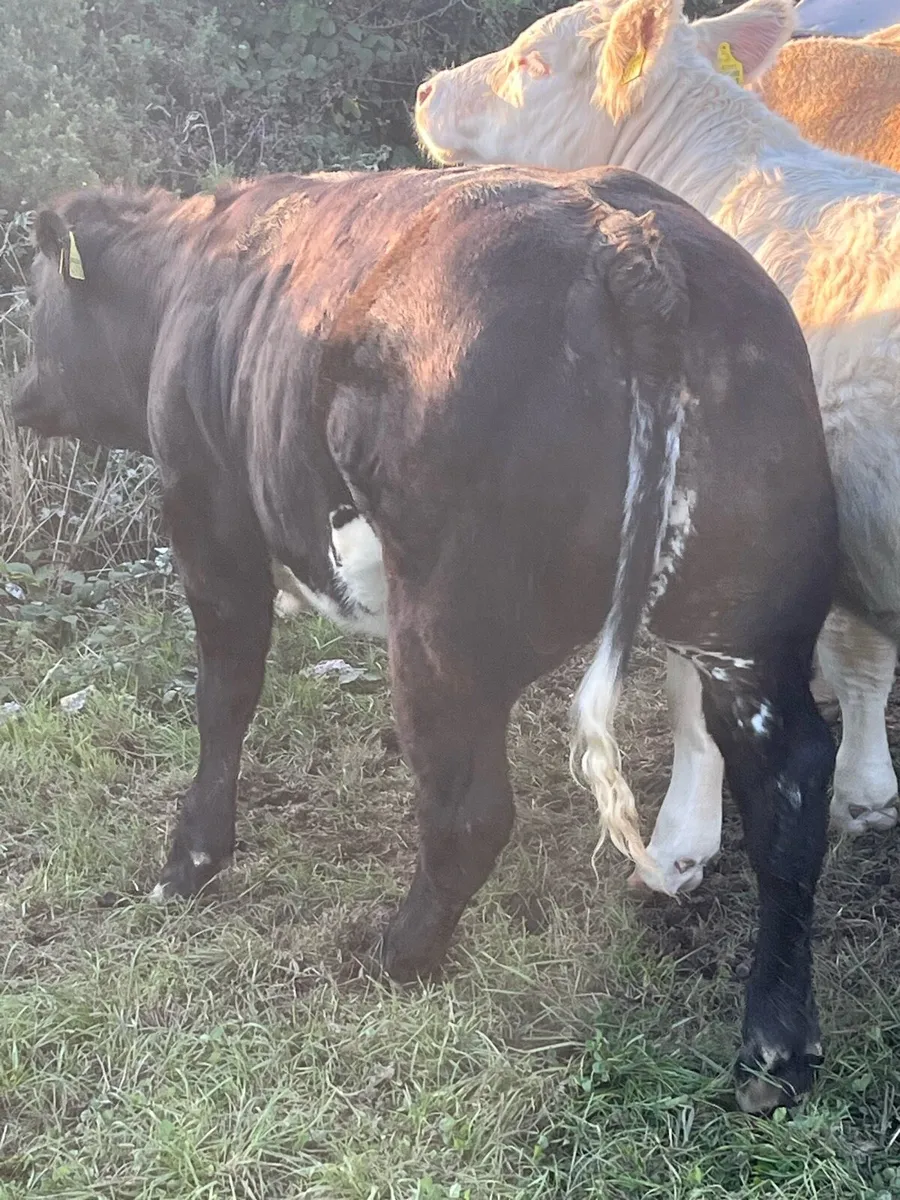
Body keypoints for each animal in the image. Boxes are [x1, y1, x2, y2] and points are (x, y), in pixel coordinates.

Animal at [13, 165, 837, 1112]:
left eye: (35, 298)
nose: (20, 395)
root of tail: (624, 242)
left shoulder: (205, 506)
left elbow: (225, 691)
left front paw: (189, 862)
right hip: (751, 621)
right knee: (790, 790)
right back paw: (774, 1048)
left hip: (443, 624)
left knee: (469, 809)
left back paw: (397, 953)